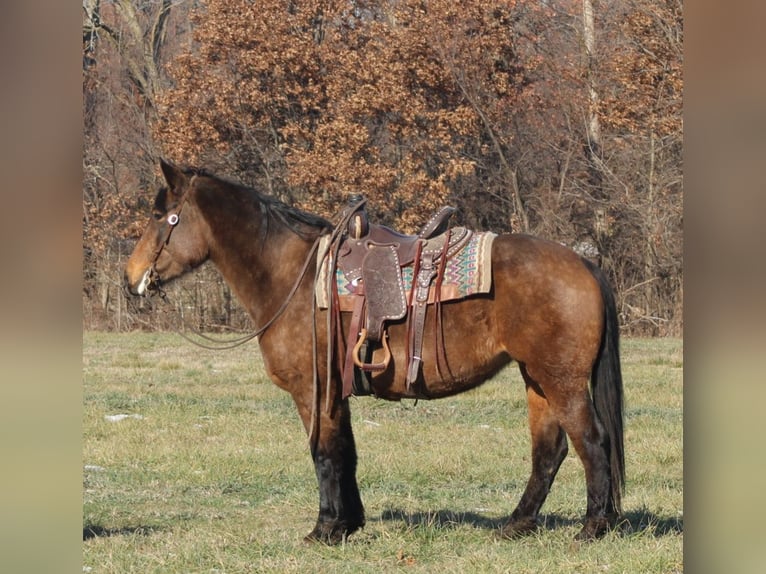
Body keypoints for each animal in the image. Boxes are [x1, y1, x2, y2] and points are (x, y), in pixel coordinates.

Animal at [124, 159, 625, 544]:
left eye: (161, 216)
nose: (131, 278)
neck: (292, 278)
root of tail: (584, 263)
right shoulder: (335, 391)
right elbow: (346, 452)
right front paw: (348, 524)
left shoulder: (313, 391)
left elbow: (324, 453)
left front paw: (325, 529)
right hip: (536, 378)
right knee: (549, 450)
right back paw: (517, 525)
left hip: (560, 381)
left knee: (591, 442)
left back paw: (593, 528)